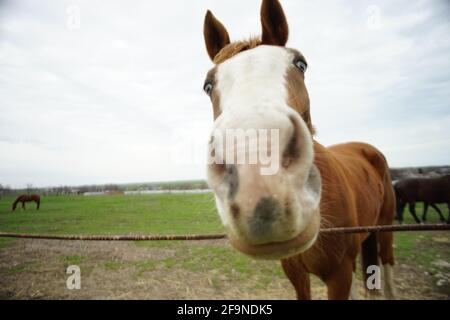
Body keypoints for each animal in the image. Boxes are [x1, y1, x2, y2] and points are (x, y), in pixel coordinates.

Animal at [202, 0, 396, 300]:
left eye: (301, 64)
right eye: (208, 85)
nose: (259, 186)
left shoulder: (339, 275)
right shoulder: (295, 273)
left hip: (385, 230)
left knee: (387, 273)